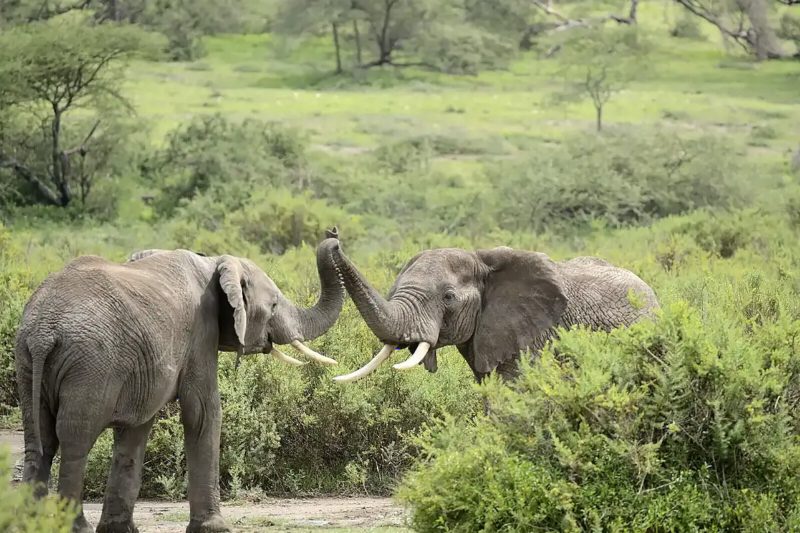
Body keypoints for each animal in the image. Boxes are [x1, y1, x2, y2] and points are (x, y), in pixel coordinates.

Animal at [15, 232, 344, 533]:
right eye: (274, 305)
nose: (334, 236)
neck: (214, 263)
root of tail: (43, 331)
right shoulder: (201, 332)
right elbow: (203, 412)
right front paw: (214, 528)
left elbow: (135, 430)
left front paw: (120, 530)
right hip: (90, 364)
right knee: (74, 440)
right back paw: (75, 527)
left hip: (28, 362)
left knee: (39, 440)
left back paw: (29, 523)